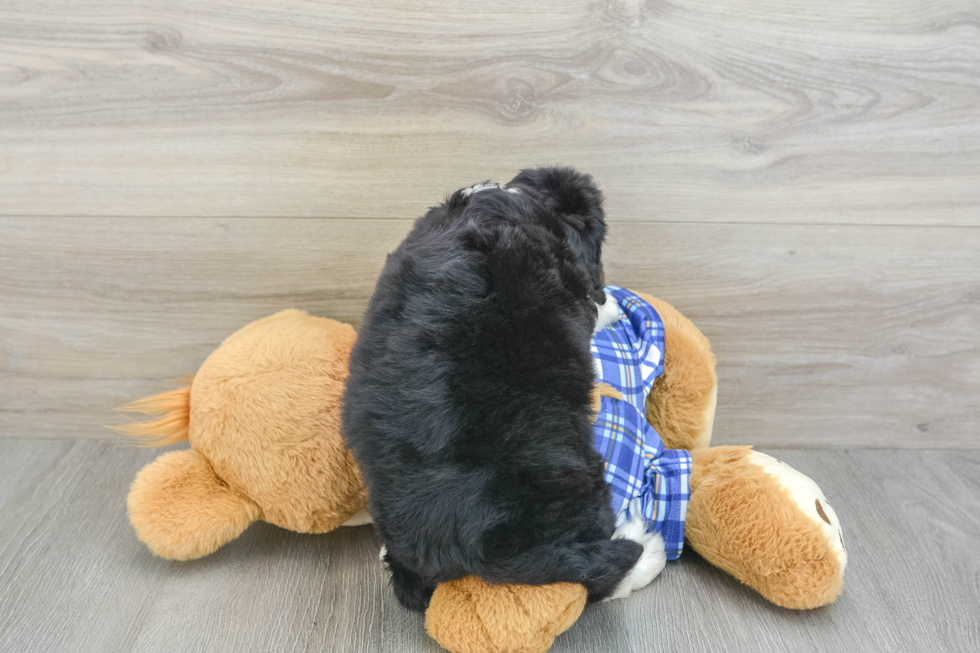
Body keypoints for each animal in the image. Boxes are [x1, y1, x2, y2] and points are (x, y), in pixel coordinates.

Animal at [342, 166, 660, 608]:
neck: (512, 199)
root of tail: (473, 549)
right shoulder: (574, 285)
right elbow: (592, 305)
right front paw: (611, 305)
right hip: (574, 481)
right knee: (590, 575)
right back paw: (645, 549)